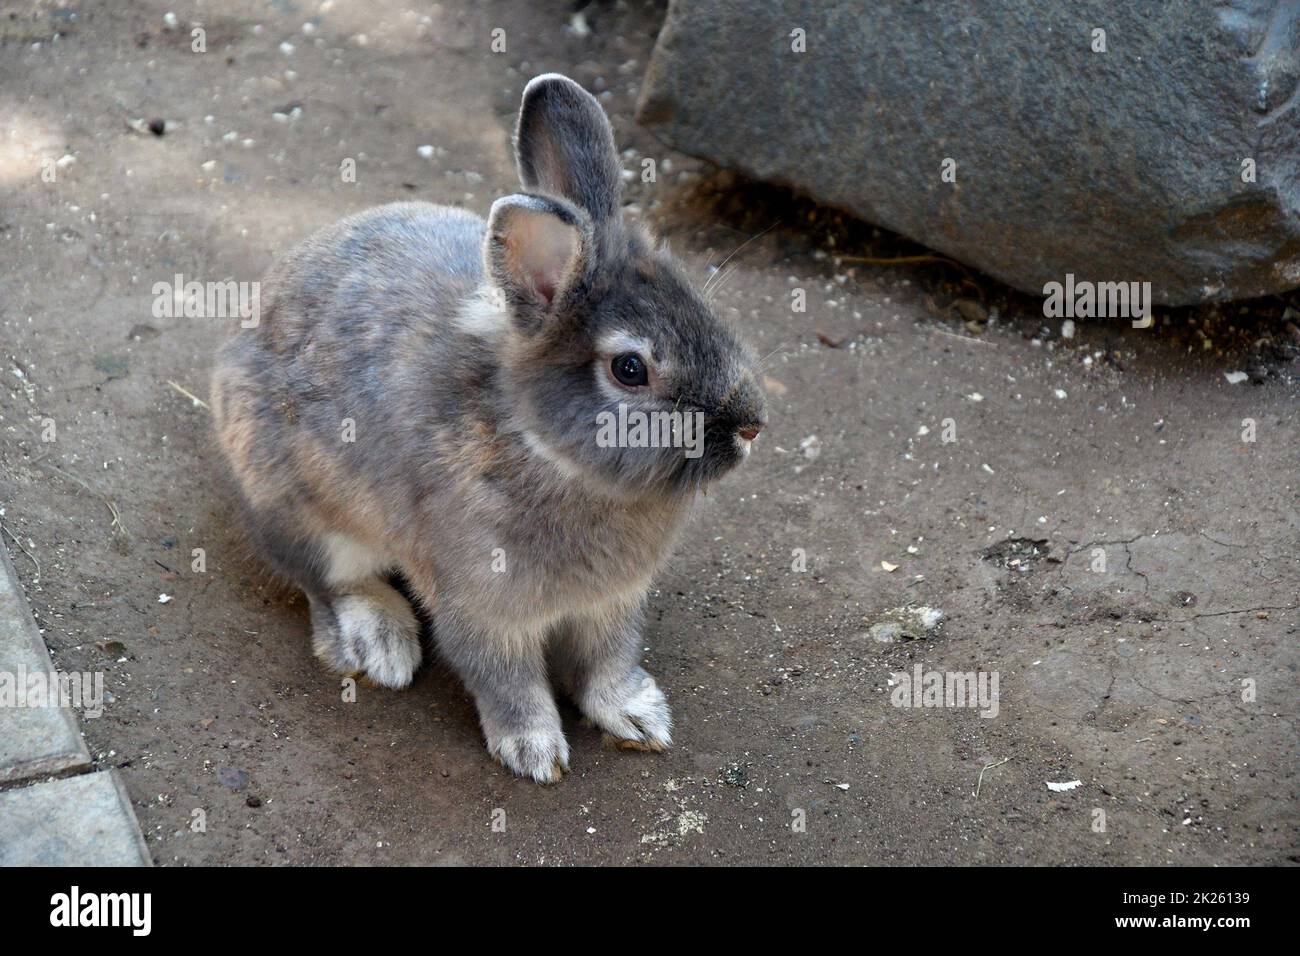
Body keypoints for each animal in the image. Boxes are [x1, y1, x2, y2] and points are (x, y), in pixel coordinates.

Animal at [209, 73, 767, 783]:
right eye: (630, 368)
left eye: (704, 308)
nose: (750, 426)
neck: (543, 450)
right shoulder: (480, 608)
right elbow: (508, 681)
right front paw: (535, 752)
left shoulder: (612, 607)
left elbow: (608, 663)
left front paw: (639, 720)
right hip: (301, 512)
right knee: (326, 582)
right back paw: (379, 643)